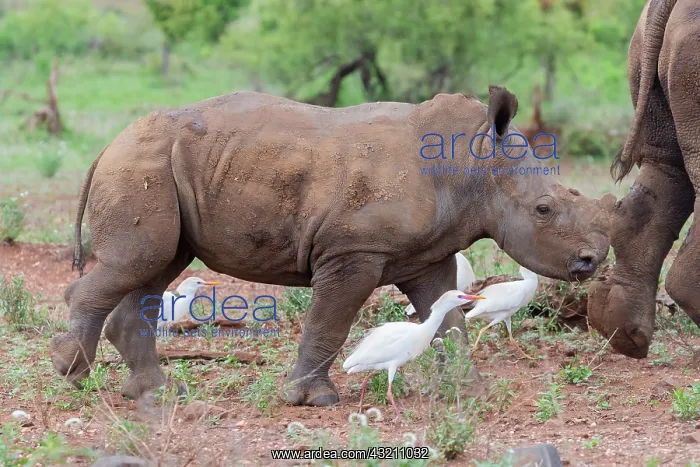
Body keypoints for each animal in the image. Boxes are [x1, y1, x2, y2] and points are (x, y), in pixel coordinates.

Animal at [50, 86, 615, 405]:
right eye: (544, 209)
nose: (592, 260)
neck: (470, 166)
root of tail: (110, 144)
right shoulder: (352, 251)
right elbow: (331, 320)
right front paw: (311, 400)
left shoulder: (430, 256)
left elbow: (449, 321)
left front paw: (469, 391)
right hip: (142, 164)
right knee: (140, 262)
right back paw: (72, 375)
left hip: (162, 165)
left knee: (157, 267)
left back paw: (158, 394)